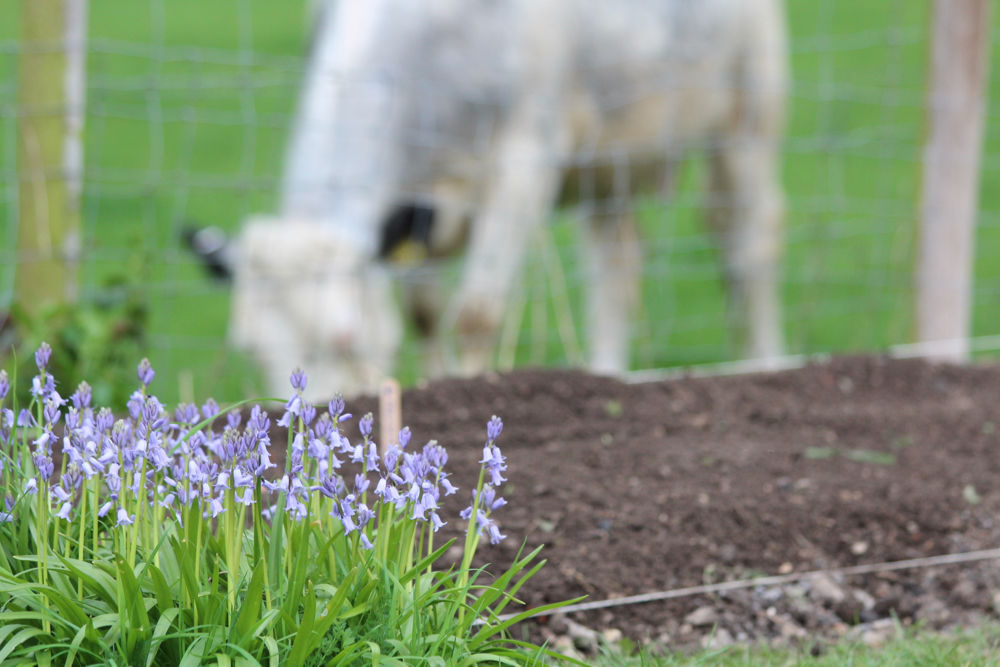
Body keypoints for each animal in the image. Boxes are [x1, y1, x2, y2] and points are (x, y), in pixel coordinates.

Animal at [229, 0, 788, 402]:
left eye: (342, 339)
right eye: (250, 348)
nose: (305, 422)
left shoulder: (525, 162)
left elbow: (475, 315)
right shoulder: (418, 207)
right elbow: (424, 314)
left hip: (746, 114)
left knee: (747, 245)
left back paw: (765, 363)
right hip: (609, 161)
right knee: (617, 263)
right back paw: (605, 375)